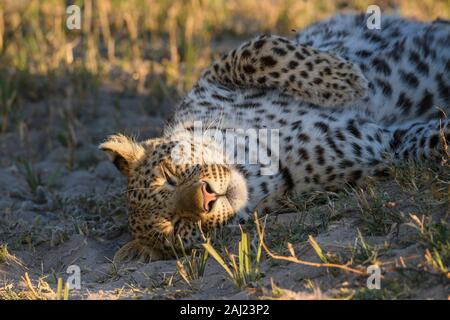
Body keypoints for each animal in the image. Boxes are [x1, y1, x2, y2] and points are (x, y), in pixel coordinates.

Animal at [99, 13, 450, 262]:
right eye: (175, 226)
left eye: (170, 175)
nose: (207, 197)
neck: (253, 166)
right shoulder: (384, 144)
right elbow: (432, 140)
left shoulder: (215, 75)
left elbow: (260, 49)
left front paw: (345, 81)